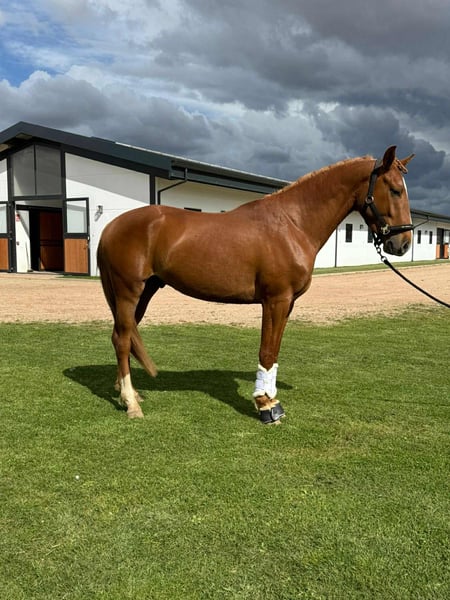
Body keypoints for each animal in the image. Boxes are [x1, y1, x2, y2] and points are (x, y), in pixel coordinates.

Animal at [97, 145, 414, 422]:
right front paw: (265, 406)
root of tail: (112, 226)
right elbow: (267, 351)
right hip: (129, 291)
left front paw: (271, 400)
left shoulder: (287, 303)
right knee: (123, 339)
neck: (292, 223)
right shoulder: (275, 300)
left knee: (122, 335)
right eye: (395, 189)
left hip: (144, 292)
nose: (402, 243)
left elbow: (274, 351)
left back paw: (129, 392)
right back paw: (132, 404)